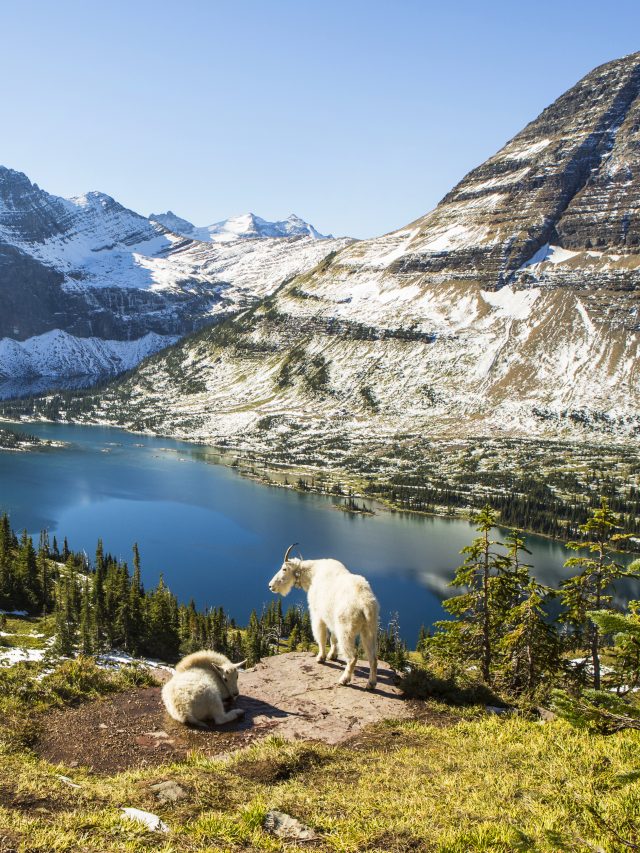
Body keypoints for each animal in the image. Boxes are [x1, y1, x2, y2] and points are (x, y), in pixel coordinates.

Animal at [268, 544, 378, 688]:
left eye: (284, 569)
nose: (270, 586)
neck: (312, 574)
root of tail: (365, 603)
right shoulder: (331, 618)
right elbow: (333, 639)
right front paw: (332, 656)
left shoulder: (317, 615)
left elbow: (321, 637)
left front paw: (321, 658)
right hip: (369, 629)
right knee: (373, 657)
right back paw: (371, 683)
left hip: (346, 629)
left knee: (353, 656)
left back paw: (344, 679)